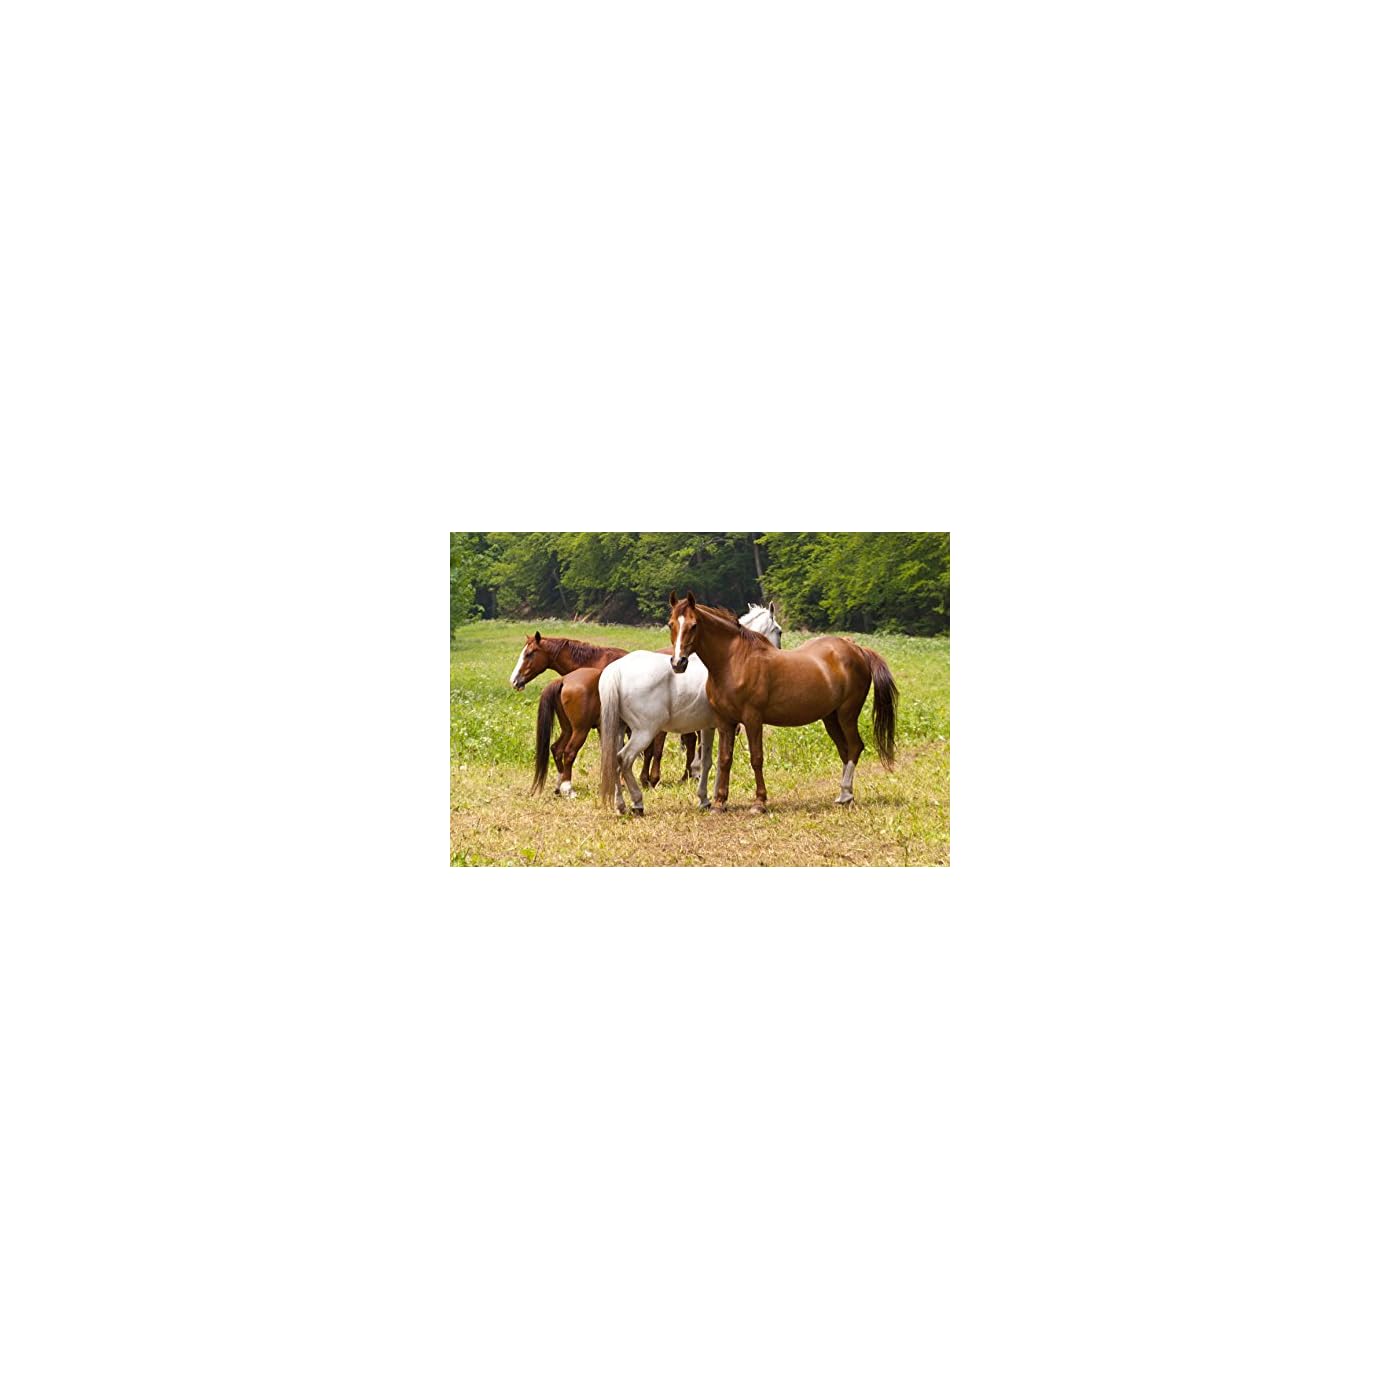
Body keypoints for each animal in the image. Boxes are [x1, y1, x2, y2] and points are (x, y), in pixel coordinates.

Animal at [597, 605, 783, 815]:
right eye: (778, 631)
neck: (729, 661)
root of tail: (616, 670)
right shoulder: (723, 726)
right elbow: (716, 761)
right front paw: (716, 799)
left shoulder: (709, 727)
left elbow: (708, 761)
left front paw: (706, 799)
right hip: (644, 732)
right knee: (624, 759)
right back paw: (637, 802)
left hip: (619, 729)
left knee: (614, 761)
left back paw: (620, 805)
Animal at [666, 591, 897, 814]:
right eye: (671, 624)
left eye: (694, 625)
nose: (678, 663)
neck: (734, 661)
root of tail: (857, 649)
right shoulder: (725, 722)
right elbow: (724, 759)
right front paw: (719, 802)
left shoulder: (752, 719)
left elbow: (756, 758)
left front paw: (759, 803)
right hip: (831, 718)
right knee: (845, 750)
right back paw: (844, 796)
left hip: (847, 715)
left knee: (855, 747)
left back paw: (846, 793)